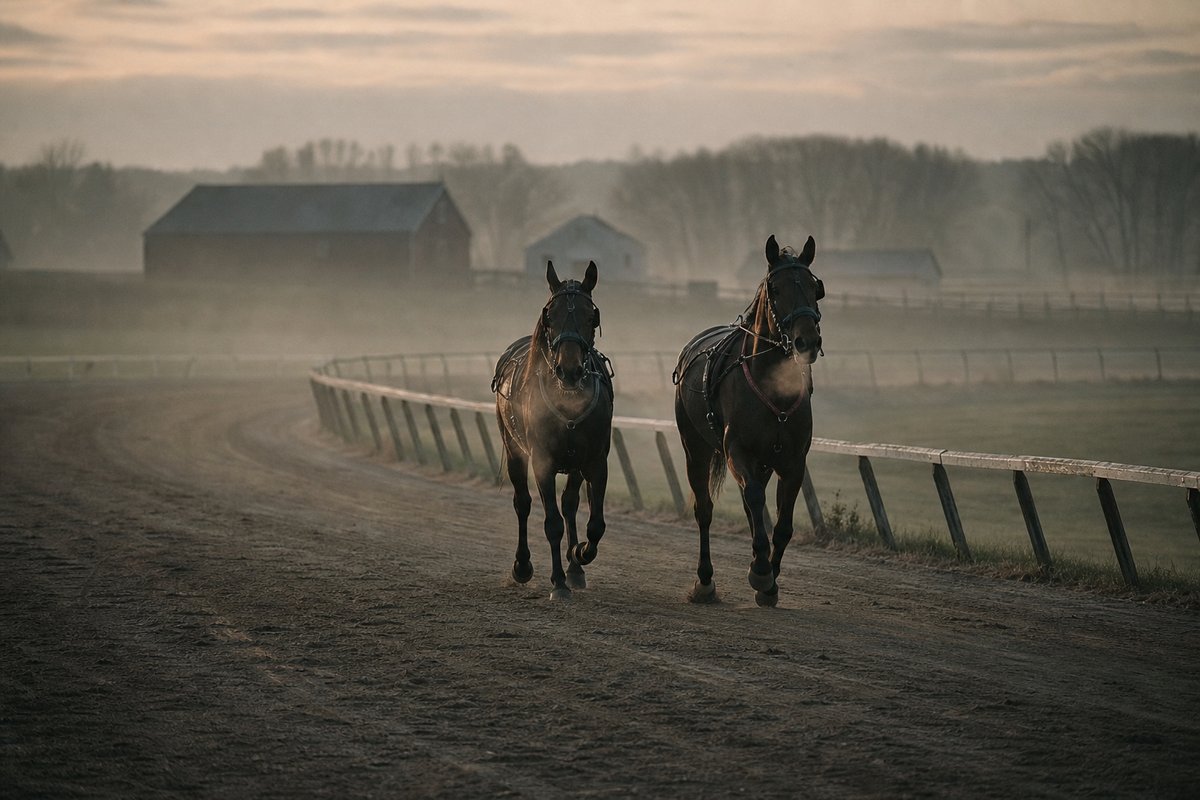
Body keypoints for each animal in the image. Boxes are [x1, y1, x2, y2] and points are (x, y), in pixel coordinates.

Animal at [492, 261, 614, 601]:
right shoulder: (542, 461)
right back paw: (523, 566)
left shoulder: (595, 461)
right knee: (522, 503)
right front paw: (558, 582)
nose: (569, 370)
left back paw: (575, 567)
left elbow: (595, 524)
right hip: (513, 449)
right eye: (551, 315)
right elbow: (552, 524)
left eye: (591, 316)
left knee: (569, 502)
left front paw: (579, 554)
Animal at [673, 234, 825, 607]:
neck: (775, 393)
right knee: (705, 509)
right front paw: (760, 571)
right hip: (694, 448)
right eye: (776, 288)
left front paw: (769, 581)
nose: (807, 340)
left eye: (814, 288)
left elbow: (782, 524)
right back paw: (705, 581)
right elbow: (754, 499)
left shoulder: (792, 461)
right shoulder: (738, 452)